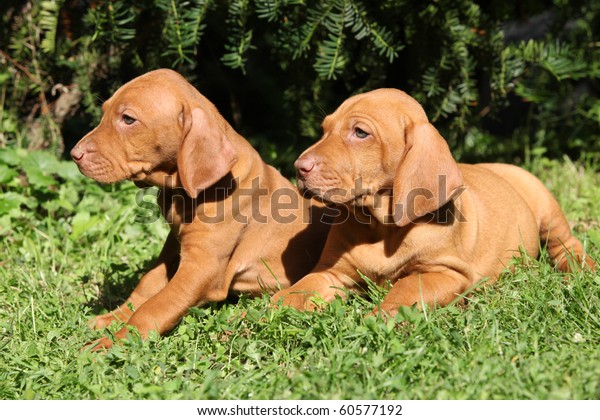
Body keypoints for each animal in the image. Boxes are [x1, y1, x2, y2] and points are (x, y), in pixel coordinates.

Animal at [71, 69, 332, 348]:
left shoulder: (202, 267)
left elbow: (156, 305)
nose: (74, 154)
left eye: (128, 119)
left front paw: (115, 342)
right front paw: (112, 318)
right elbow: (148, 284)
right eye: (104, 112)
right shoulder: (174, 245)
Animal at [272, 89, 596, 318]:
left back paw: (582, 267)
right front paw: (266, 313)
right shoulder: (332, 272)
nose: (299, 167)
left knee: (566, 243)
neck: (381, 227)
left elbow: (405, 287)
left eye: (360, 132)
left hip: (545, 204)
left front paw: (383, 315)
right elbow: (299, 290)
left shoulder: (445, 272)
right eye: (324, 129)